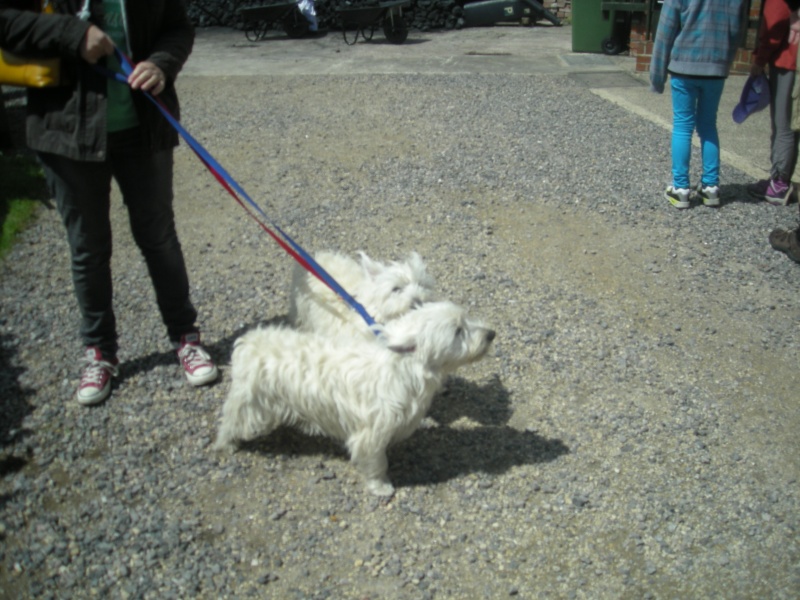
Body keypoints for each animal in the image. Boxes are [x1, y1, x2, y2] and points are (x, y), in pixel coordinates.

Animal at [212, 300, 494, 496]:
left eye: (466, 319)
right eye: (457, 331)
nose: (491, 334)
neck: (403, 367)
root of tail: (248, 342)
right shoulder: (370, 433)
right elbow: (376, 462)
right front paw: (381, 487)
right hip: (251, 405)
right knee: (230, 422)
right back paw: (226, 445)